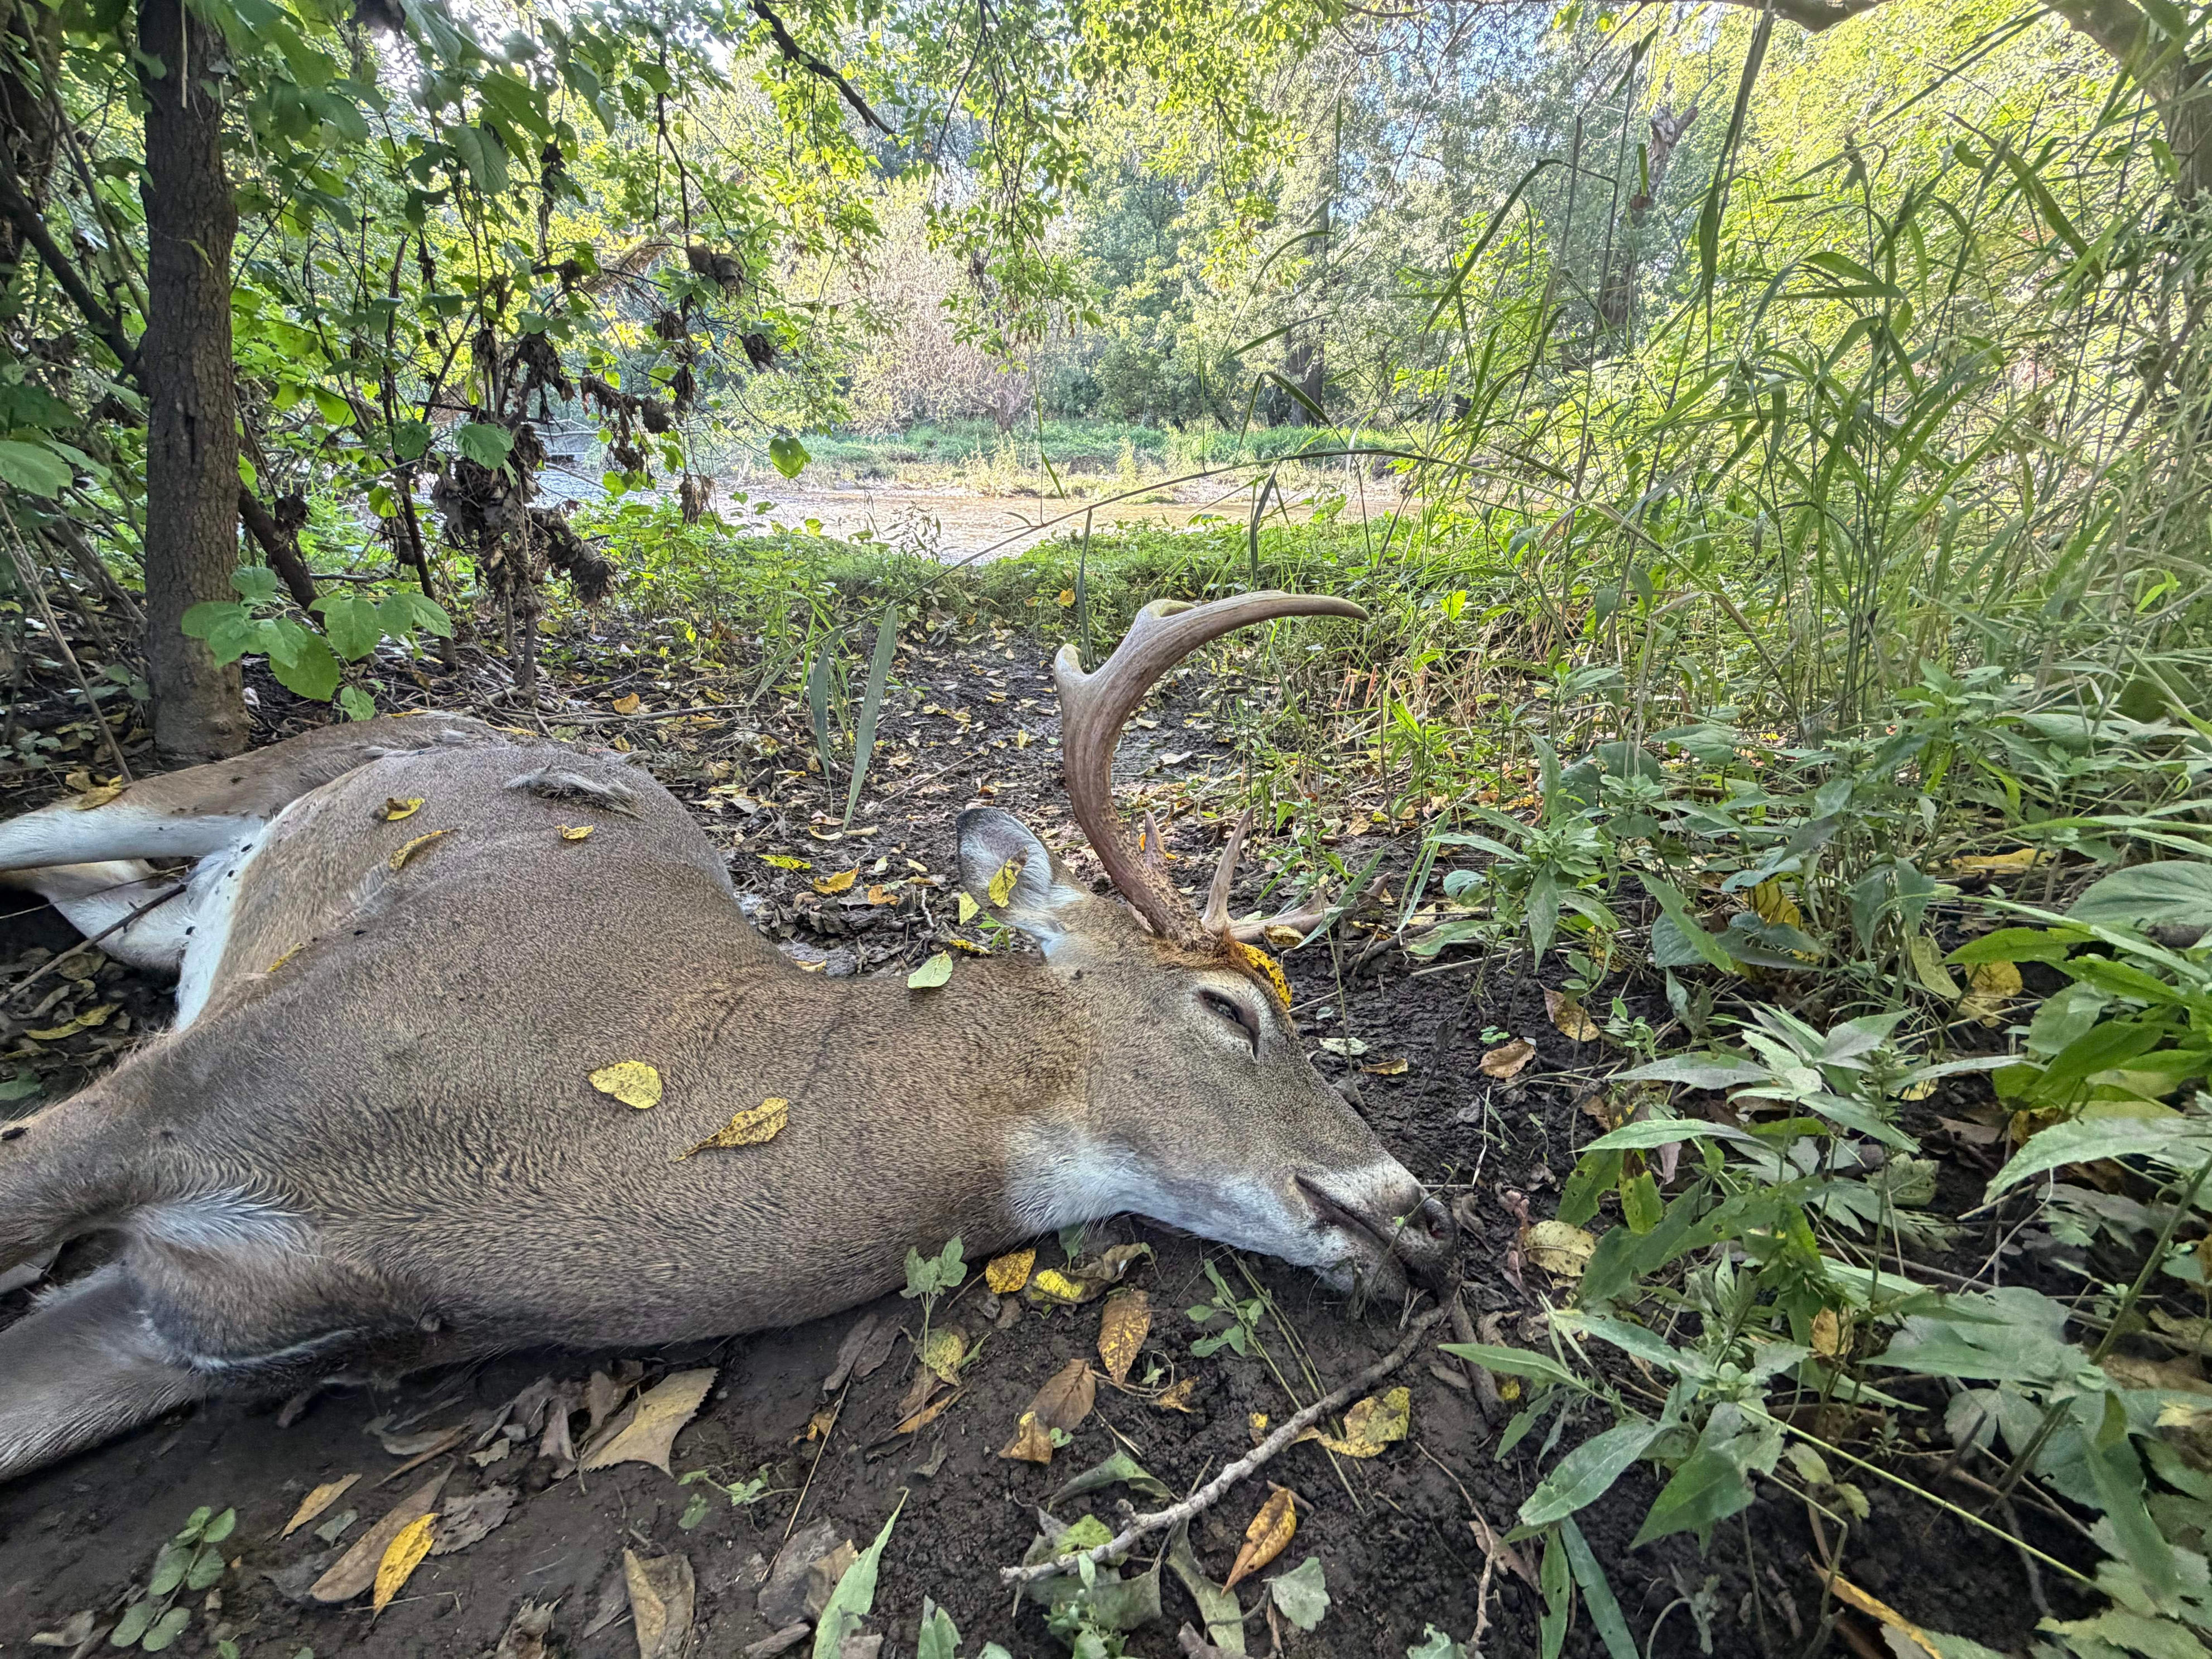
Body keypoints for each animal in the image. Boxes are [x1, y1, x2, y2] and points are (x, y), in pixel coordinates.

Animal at [0, 592, 1456, 1481]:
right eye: (1228, 1007)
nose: (1426, 1212)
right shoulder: (203, 1077)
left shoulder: (186, 1319)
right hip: (251, 799)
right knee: (63, 814)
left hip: (179, 921)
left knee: (109, 900)